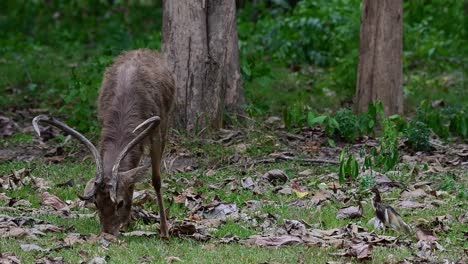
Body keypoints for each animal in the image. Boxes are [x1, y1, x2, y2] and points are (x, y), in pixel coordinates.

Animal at [32, 49, 176, 237]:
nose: (107, 234)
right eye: (96, 202)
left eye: (119, 203)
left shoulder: (157, 130)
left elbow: (156, 180)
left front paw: (165, 231)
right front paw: (127, 223)